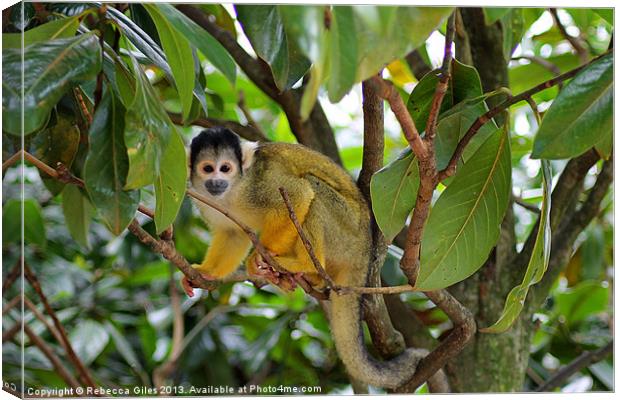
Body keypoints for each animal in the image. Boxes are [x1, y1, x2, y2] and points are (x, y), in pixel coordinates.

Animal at [185, 127, 422, 388]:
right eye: (208, 168)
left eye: (225, 168)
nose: (216, 181)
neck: (234, 190)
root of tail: (366, 252)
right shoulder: (204, 199)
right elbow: (233, 235)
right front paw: (205, 272)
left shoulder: (260, 184)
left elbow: (298, 195)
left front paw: (259, 257)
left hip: (348, 235)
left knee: (313, 188)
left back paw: (304, 265)